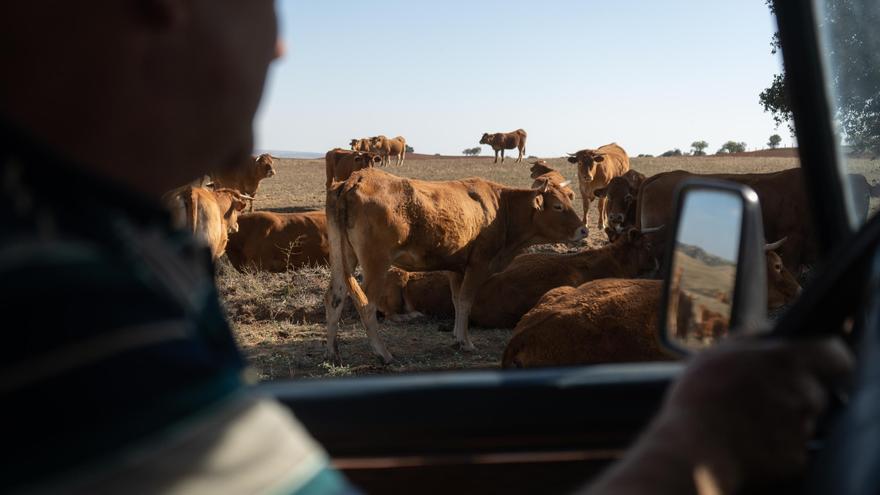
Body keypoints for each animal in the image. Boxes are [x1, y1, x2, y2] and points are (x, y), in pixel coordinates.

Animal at [324, 167, 584, 364]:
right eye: (558, 206)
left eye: (570, 199)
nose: (584, 230)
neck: (502, 208)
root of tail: (355, 179)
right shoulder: (478, 265)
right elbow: (467, 301)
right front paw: (466, 342)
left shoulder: (456, 268)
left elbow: (457, 301)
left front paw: (457, 338)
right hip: (376, 262)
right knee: (366, 304)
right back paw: (383, 353)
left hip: (342, 255)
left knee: (335, 298)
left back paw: (333, 353)